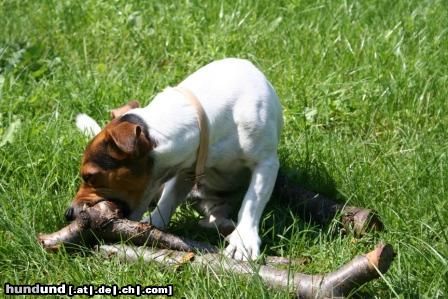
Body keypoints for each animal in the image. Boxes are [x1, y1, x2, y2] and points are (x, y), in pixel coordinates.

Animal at [68, 58, 282, 260]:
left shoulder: (266, 163)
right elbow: (168, 200)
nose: (68, 213)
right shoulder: (184, 168)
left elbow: (252, 201)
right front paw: (151, 227)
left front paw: (243, 241)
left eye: (89, 176)